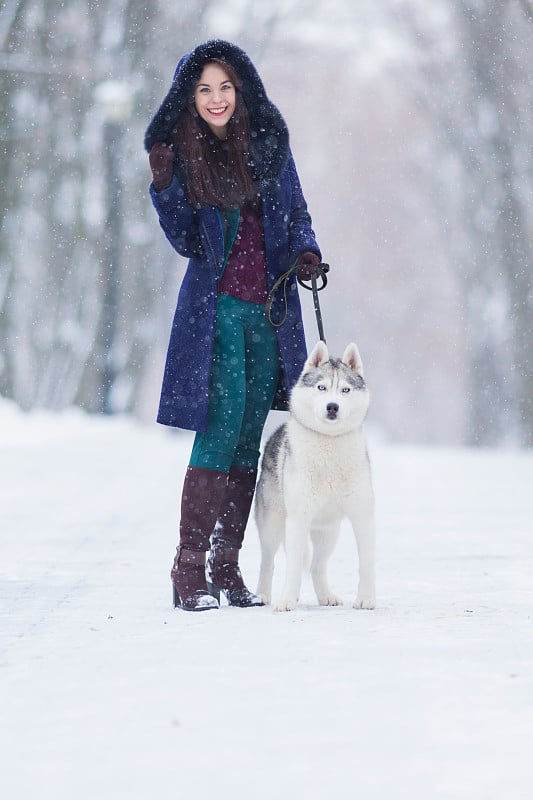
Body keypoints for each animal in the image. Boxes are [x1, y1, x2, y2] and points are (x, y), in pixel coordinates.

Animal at [255, 340, 374, 612]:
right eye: (322, 387)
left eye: (345, 390)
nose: (332, 406)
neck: (329, 445)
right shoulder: (297, 519)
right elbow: (292, 567)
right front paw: (287, 601)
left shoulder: (362, 515)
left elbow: (366, 563)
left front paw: (366, 599)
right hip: (273, 525)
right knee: (270, 561)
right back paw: (263, 595)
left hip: (328, 531)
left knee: (317, 566)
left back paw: (326, 596)